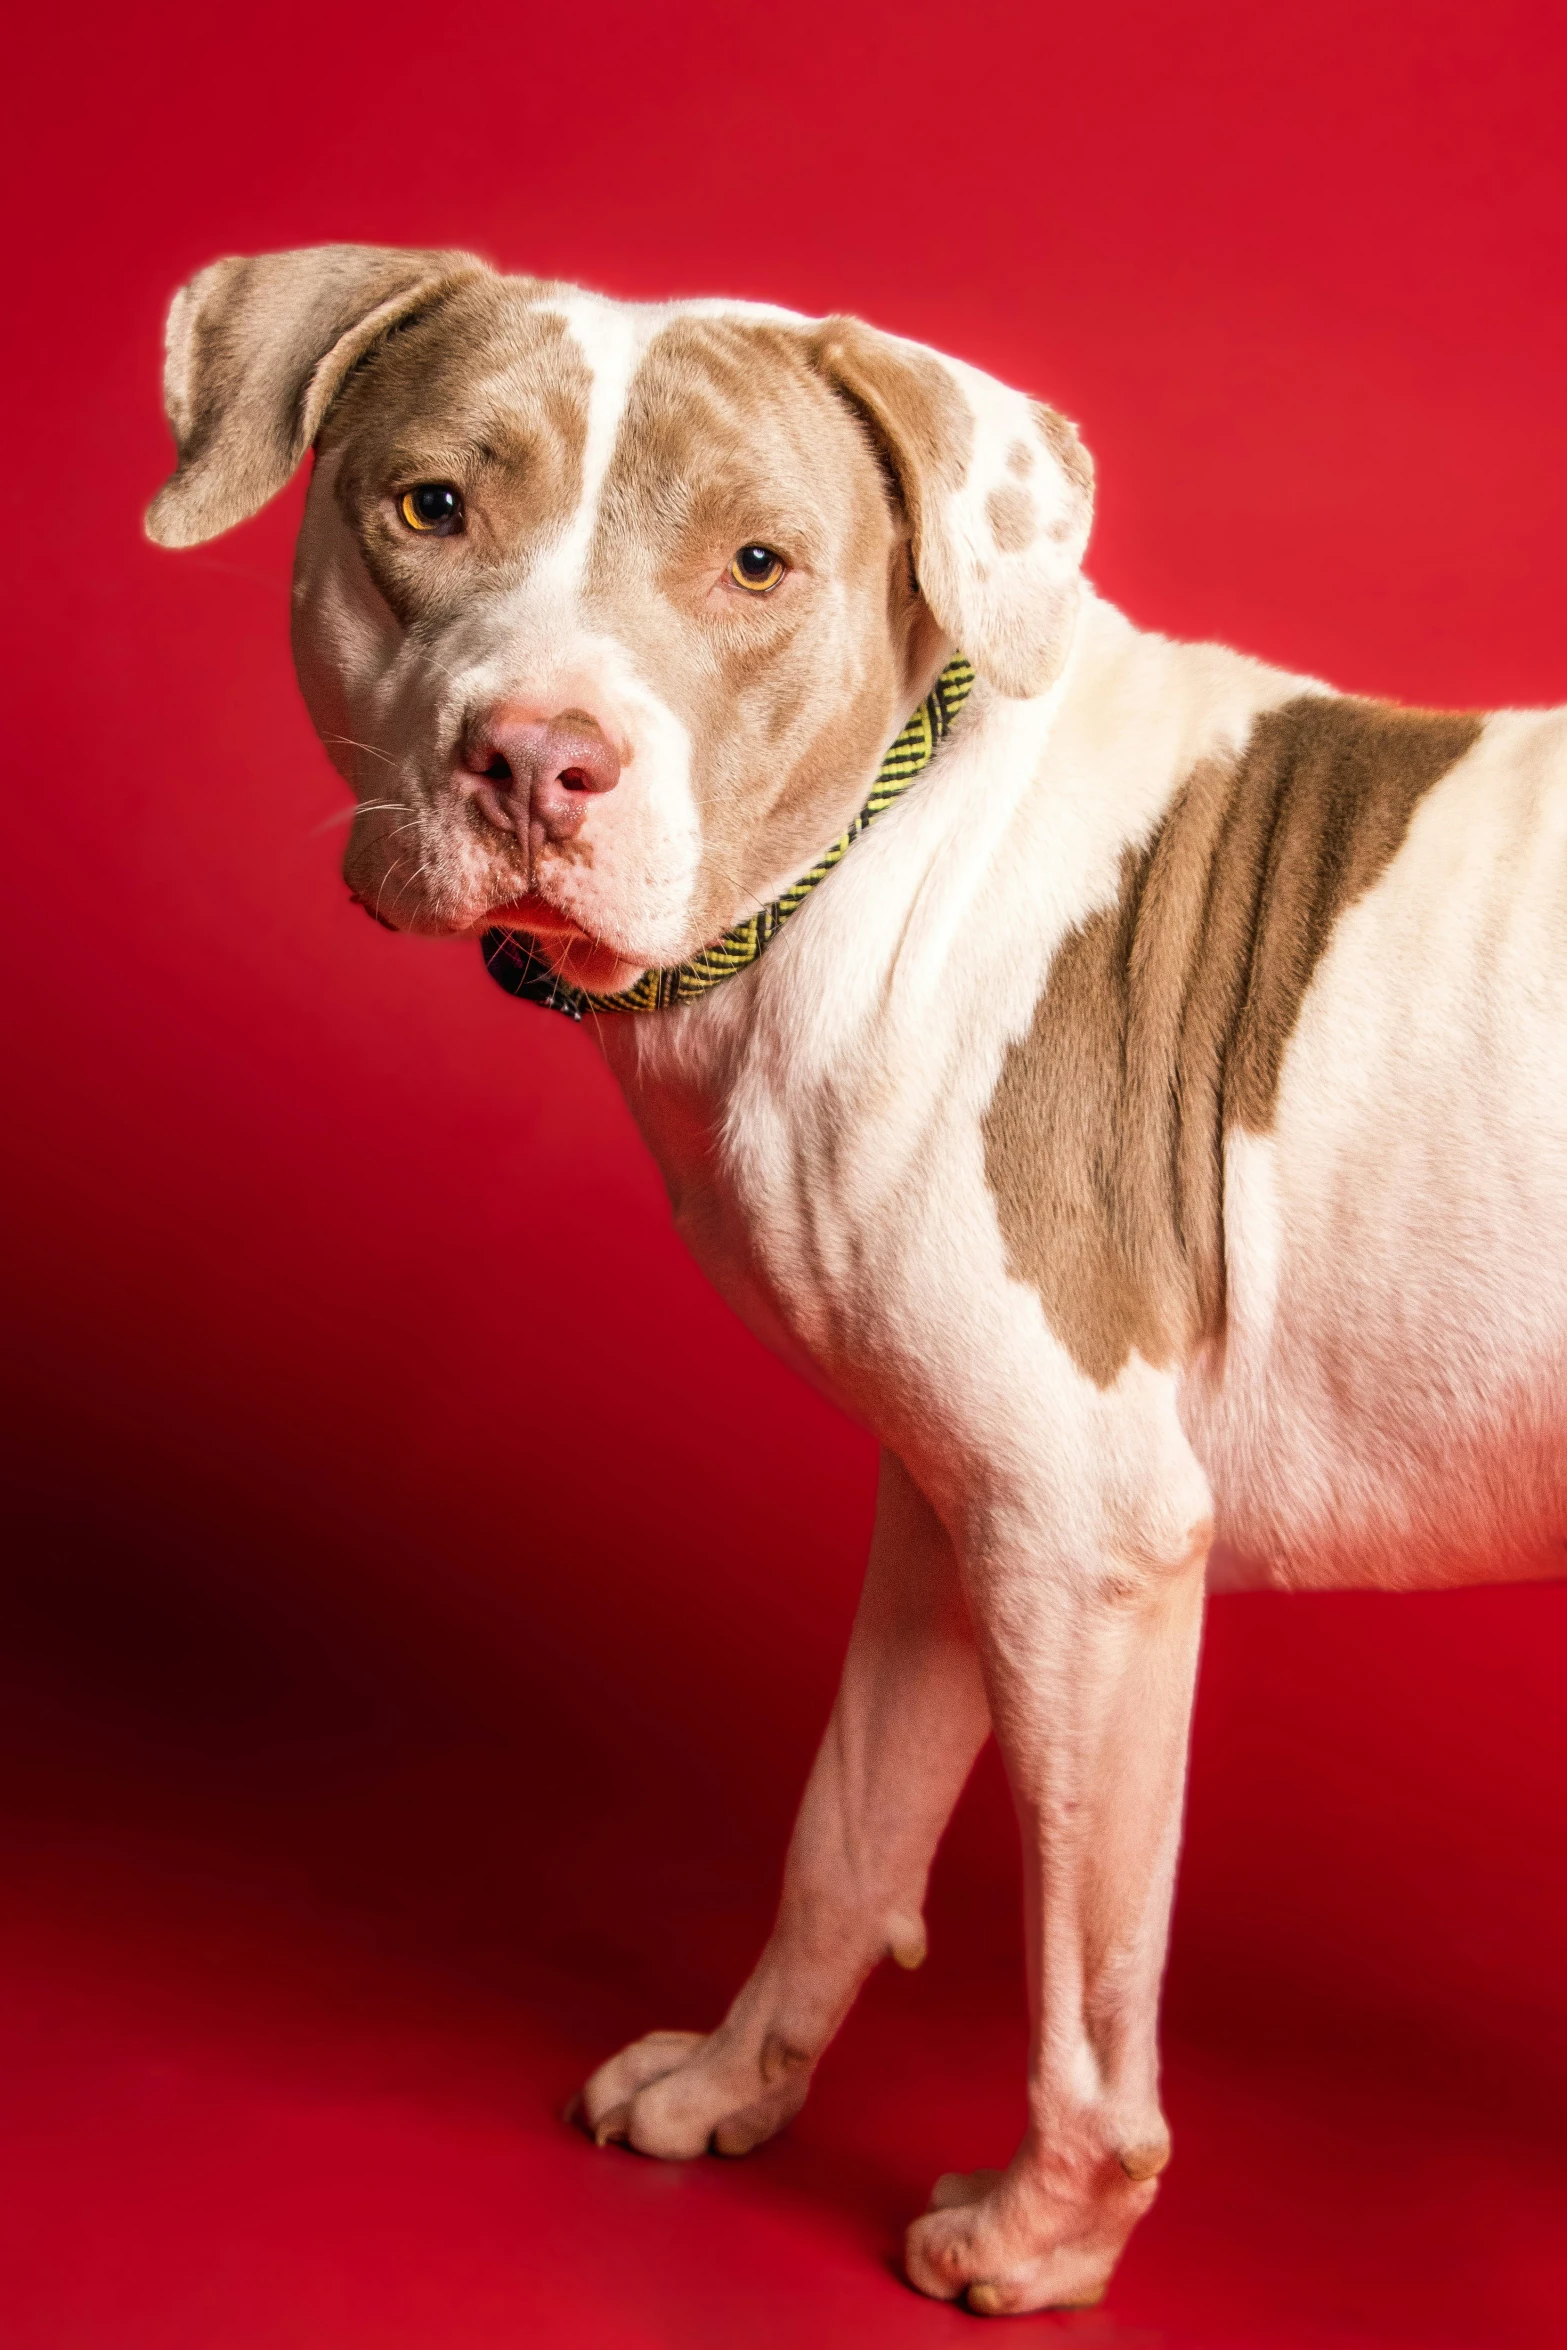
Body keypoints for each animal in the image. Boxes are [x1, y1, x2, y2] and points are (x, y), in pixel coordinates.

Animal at [146, 243, 1567, 2312]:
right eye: (429, 506)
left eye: (757, 563)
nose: (536, 760)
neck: (863, 870)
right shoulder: (952, 1502)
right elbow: (847, 1824)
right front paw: (732, 2090)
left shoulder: (1087, 1541)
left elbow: (1085, 1979)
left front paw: (1045, 2239)